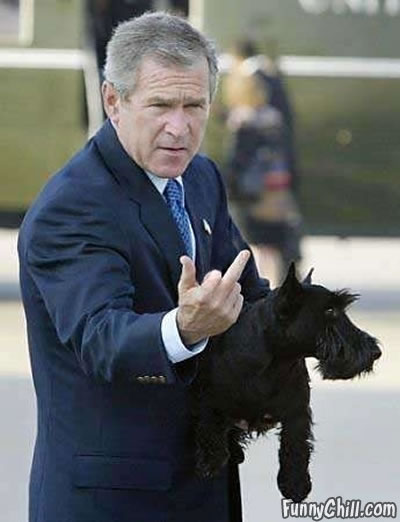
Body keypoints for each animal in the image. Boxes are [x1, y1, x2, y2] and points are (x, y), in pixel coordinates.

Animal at [190, 263, 381, 502]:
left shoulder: (297, 412)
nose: (375, 352)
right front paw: (210, 461)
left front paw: (295, 484)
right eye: (330, 311)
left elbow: (295, 447)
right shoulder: (209, 399)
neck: (277, 359)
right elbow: (210, 425)